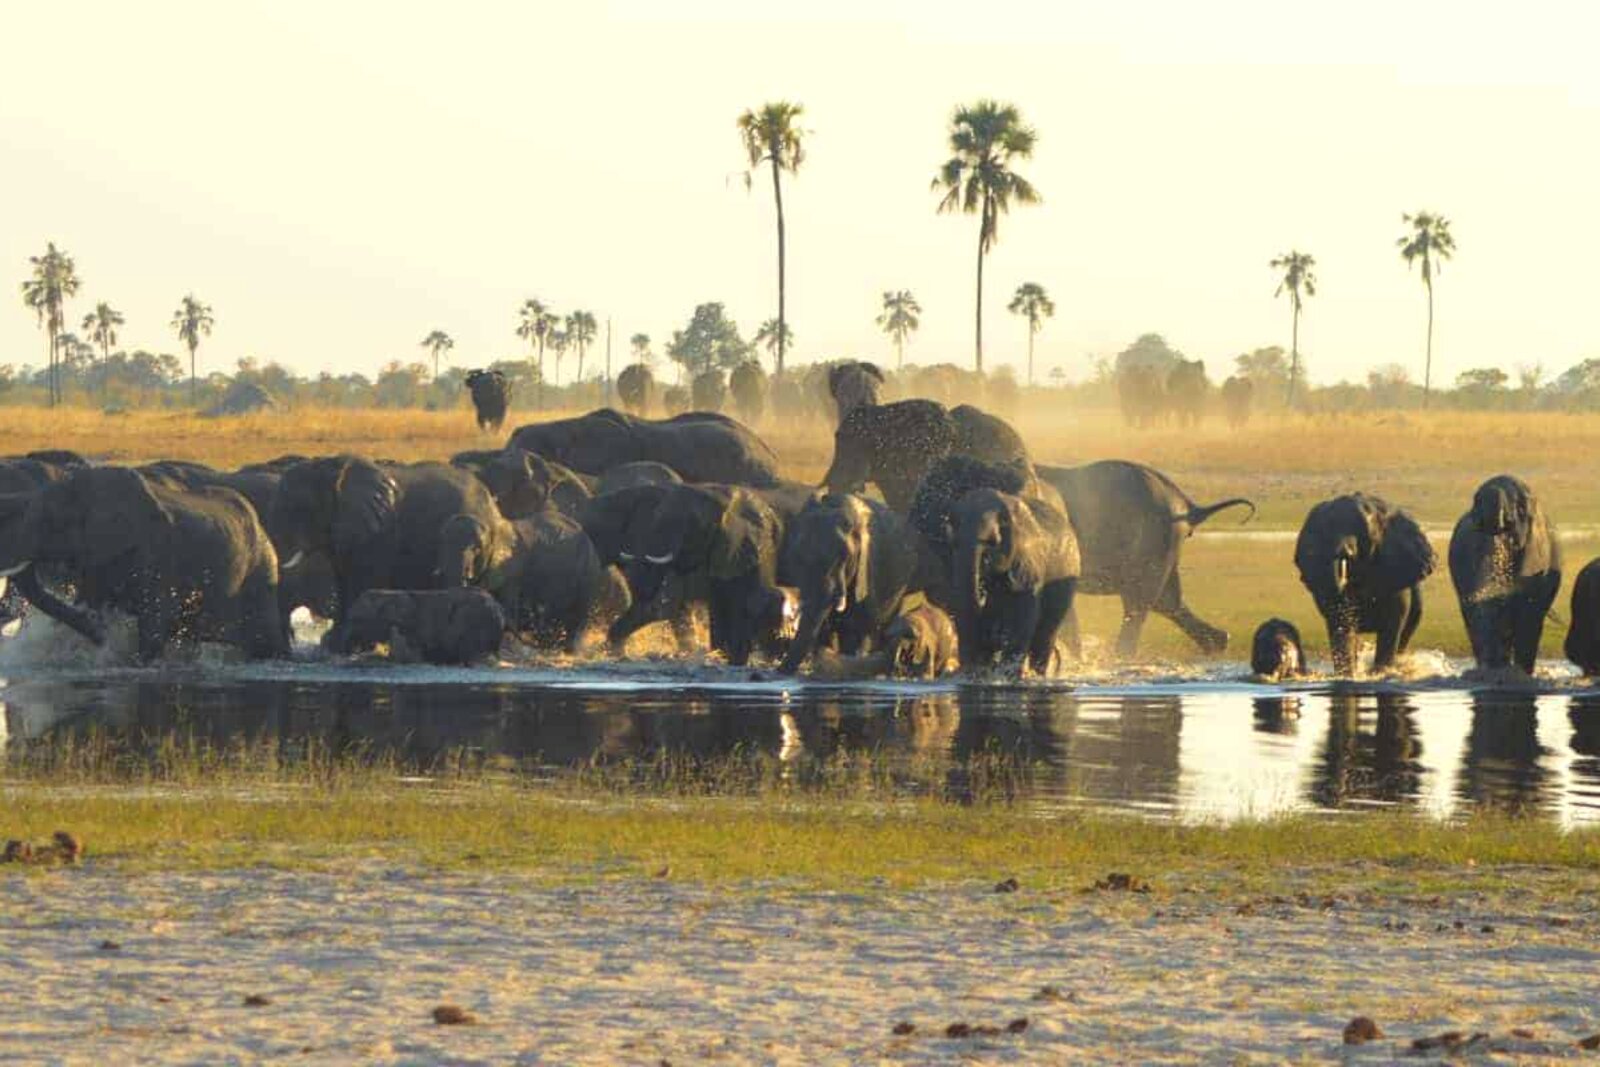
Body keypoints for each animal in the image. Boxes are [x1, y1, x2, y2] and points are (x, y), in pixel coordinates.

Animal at [0, 466, 287, 661]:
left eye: (50, 521)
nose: (104, 638)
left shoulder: (158, 556)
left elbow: (155, 618)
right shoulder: (97, 559)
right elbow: (93, 599)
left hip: (260, 572)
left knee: (265, 639)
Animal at [265, 457, 501, 643]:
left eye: (297, 509)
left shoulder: (379, 531)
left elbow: (362, 579)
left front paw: (337, 641)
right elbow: (342, 578)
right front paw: (331, 639)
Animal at [436, 509, 628, 651]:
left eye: (476, 549)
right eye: (442, 543)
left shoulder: (512, 568)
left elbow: (508, 603)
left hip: (588, 573)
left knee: (576, 618)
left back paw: (567, 651)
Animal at [1037, 461, 1253, 656]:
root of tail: (1188, 506)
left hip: (1154, 539)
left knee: (1140, 603)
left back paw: (1121, 658)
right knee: (1167, 602)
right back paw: (1218, 645)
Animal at [1294, 493, 1436, 676]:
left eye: (1363, 531)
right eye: (1324, 529)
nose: (1346, 554)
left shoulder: (1394, 573)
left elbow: (1391, 625)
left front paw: (1379, 674)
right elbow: (1340, 624)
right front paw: (1349, 676)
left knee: (1405, 634)